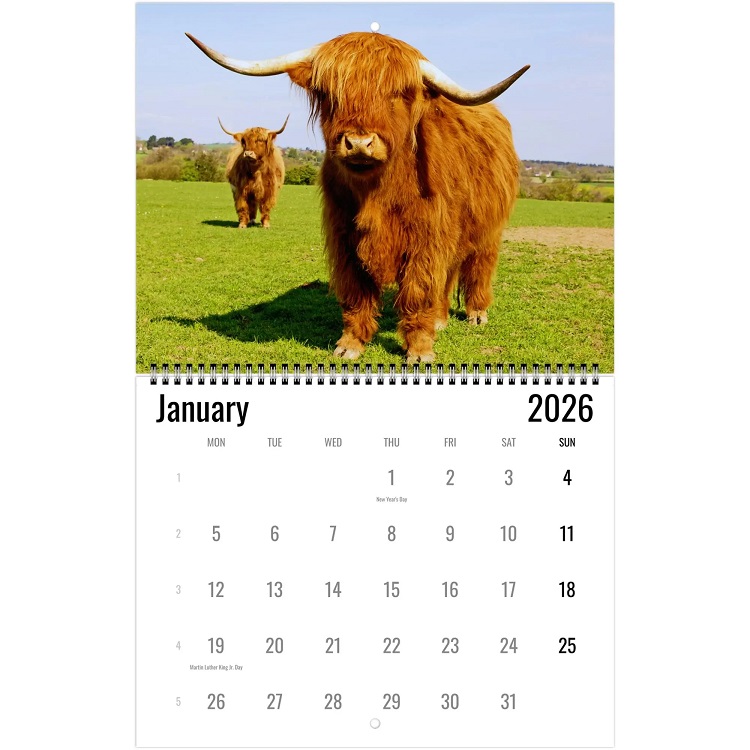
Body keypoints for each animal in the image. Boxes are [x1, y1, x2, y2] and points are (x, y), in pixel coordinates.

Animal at [188, 32, 528, 361]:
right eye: (329, 93)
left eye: (397, 93)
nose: (359, 143)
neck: (377, 193)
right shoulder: (345, 237)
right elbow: (356, 292)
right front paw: (350, 344)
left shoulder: (427, 239)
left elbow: (419, 290)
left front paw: (420, 350)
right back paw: (441, 319)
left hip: (488, 232)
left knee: (479, 267)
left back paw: (477, 314)